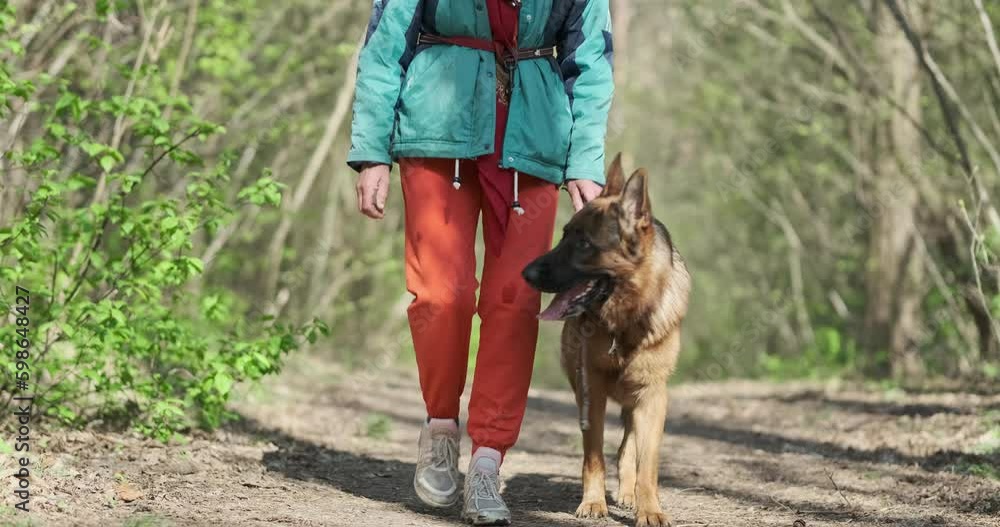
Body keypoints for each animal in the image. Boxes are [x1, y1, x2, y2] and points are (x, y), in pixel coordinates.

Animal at [522, 154, 690, 527]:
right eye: (564, 235)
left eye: (584, 243)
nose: (525, 273)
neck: (625, 321)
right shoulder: (592, 391)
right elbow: (594, 456)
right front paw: (593, 503)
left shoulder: (652, 396)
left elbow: (647, 464)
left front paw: (649, 508)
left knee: (629, 444)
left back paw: (628, 494)